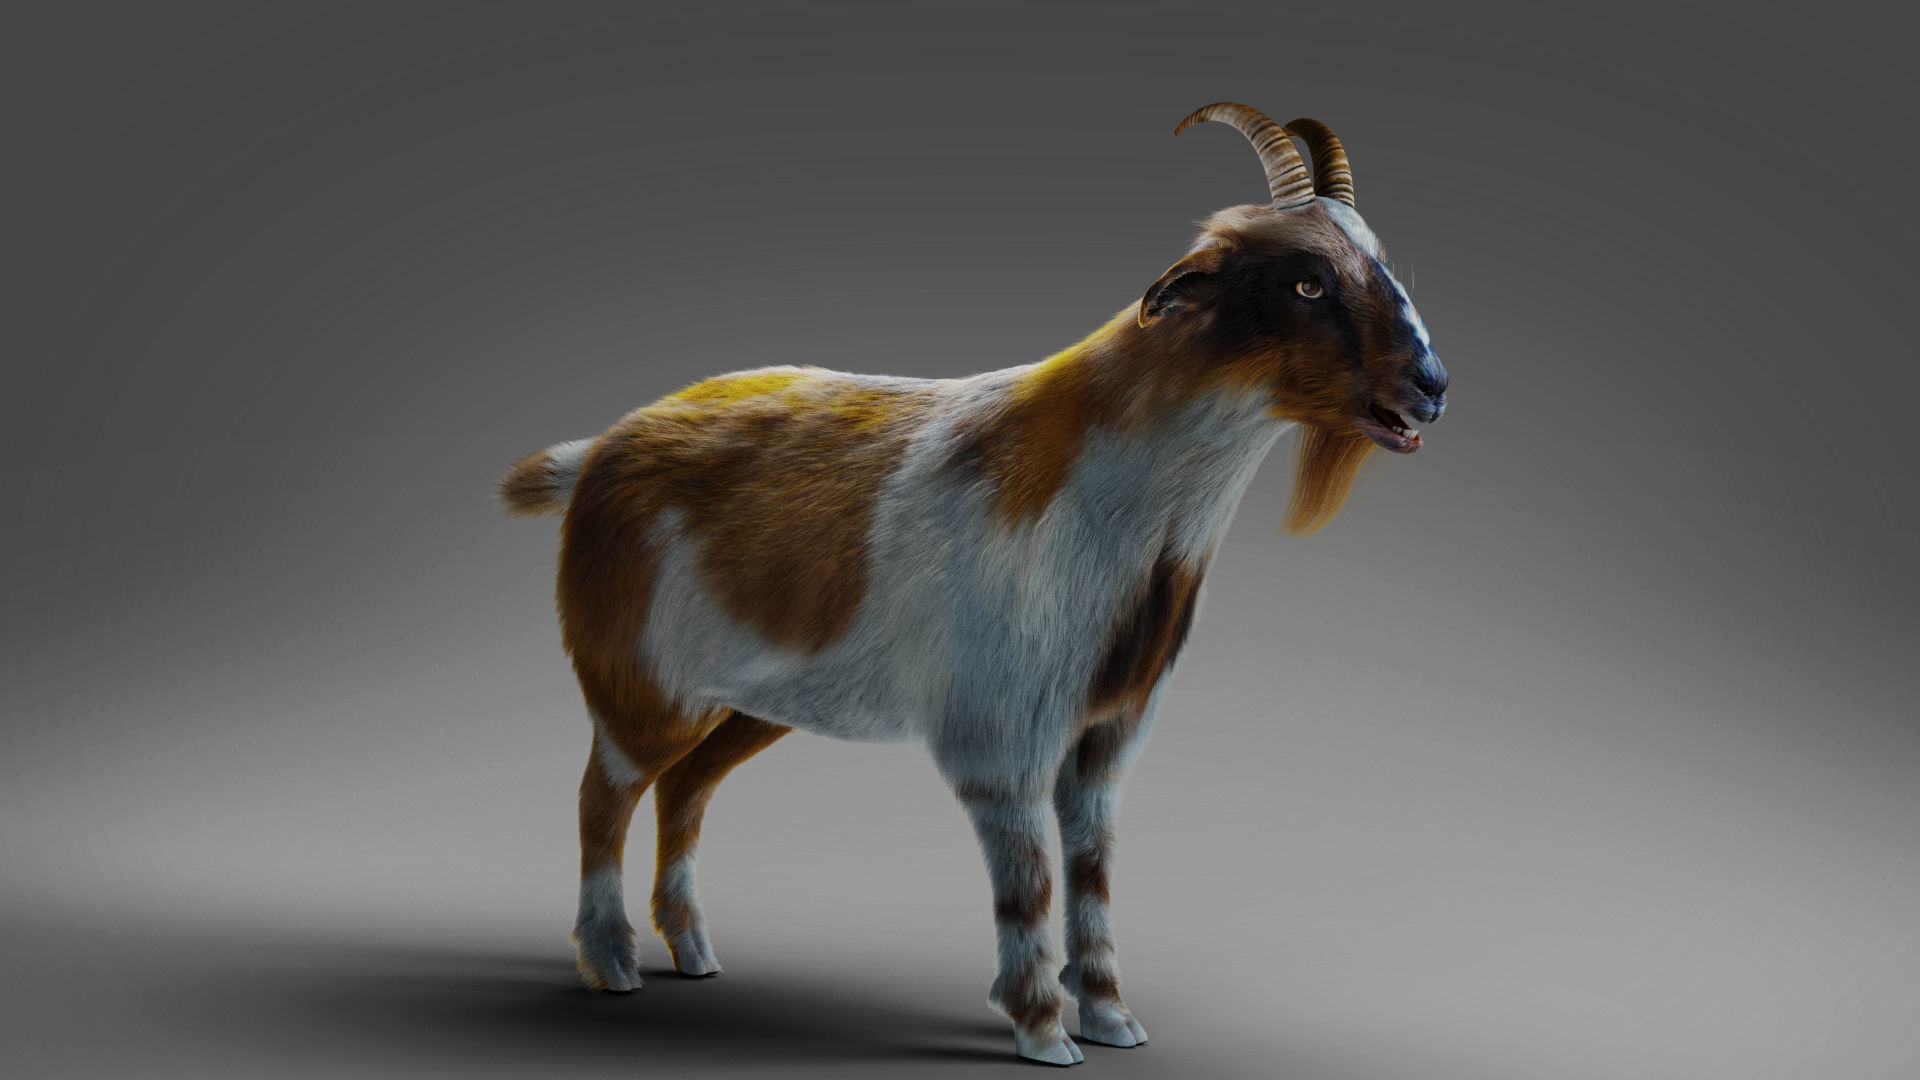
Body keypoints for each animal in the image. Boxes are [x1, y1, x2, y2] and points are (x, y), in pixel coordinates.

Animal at [498, 102, 1448, 1066]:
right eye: (1307, 285)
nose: (1431, 387)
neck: (1114, 503)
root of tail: (598, 453)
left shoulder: (1103, 738)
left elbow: (1093, 871)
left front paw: (1111, 1016)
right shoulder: (1004, 736)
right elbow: (1028, 881)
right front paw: (1041, 1026)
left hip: (748, 702)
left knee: (685, 792)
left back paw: (692, 949)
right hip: (642, 682)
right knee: (604, 798)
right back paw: (611, 961)